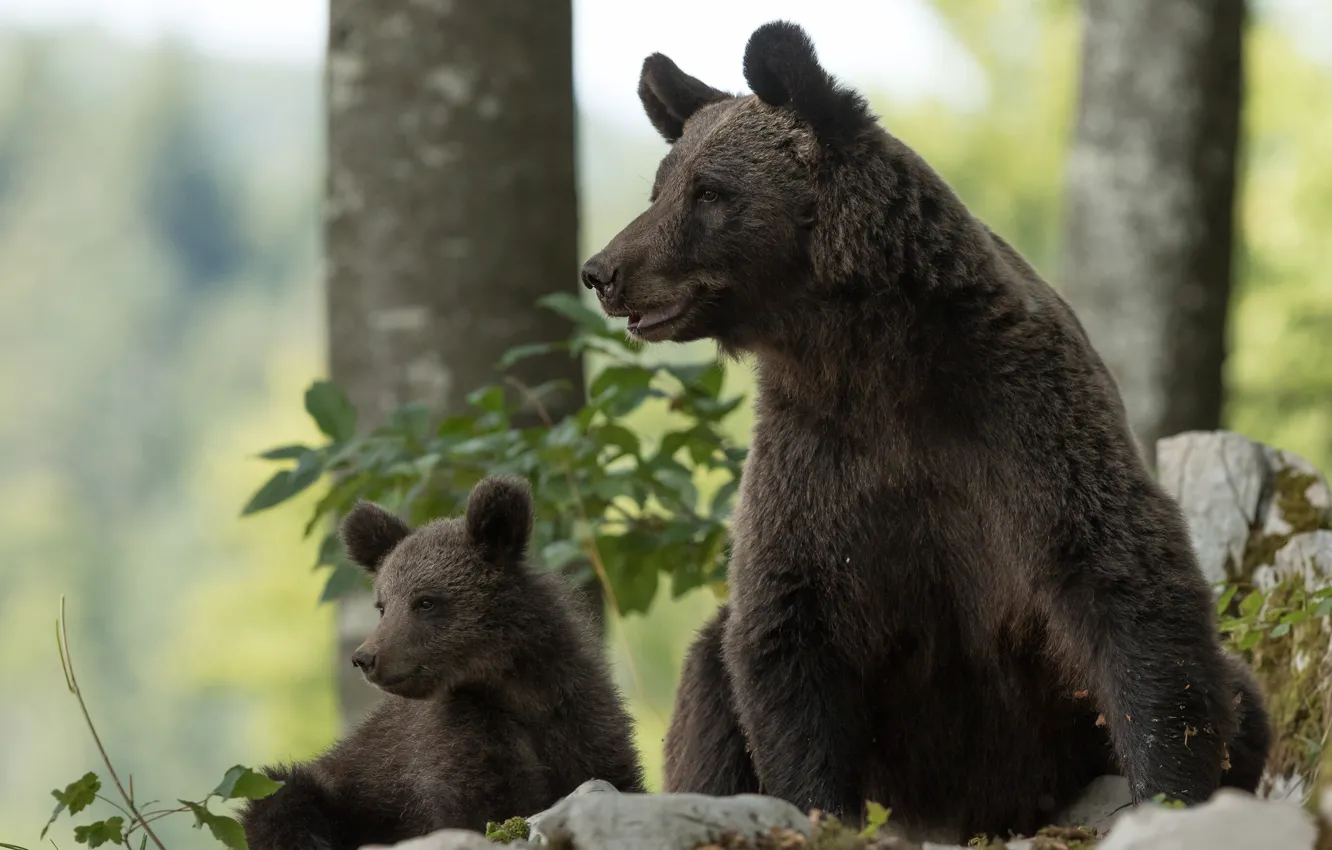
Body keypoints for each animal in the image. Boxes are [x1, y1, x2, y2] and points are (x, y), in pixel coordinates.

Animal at [240, 475, 645, 849]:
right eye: (383, 605)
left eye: (425, 601)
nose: (365, 657)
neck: (517, 687)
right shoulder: (457, 736)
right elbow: (484, 806)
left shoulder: (580, 719)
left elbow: (612, 777)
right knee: (281, 799)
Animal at [578, 20, 1270, 844]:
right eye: (660, 188)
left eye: (708, 191)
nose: (603, 270)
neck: (869, 357)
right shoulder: (816, 461)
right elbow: (785, 625)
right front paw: (818, 805)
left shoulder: (1023, 425)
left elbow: (1124, 583)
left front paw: (1170, 790)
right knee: (711, 685)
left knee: (1244, 703)